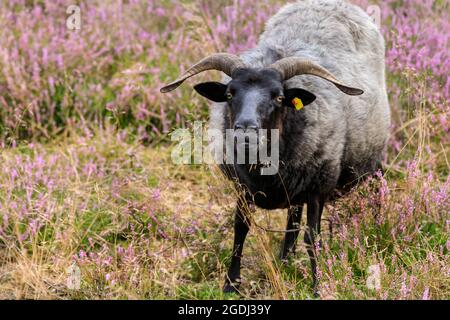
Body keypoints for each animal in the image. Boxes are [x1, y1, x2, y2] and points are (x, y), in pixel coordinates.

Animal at [161, 0, 390, 298]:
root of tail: (331, 3)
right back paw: (285, 261)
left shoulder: (319, 187)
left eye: (279, 97)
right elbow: (241, 228)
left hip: (370, 163)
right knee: (292, 219)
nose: (246, 131)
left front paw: (319, 286)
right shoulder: (243, 186)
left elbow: (313, 238)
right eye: (229, 94)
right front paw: (231, 284)